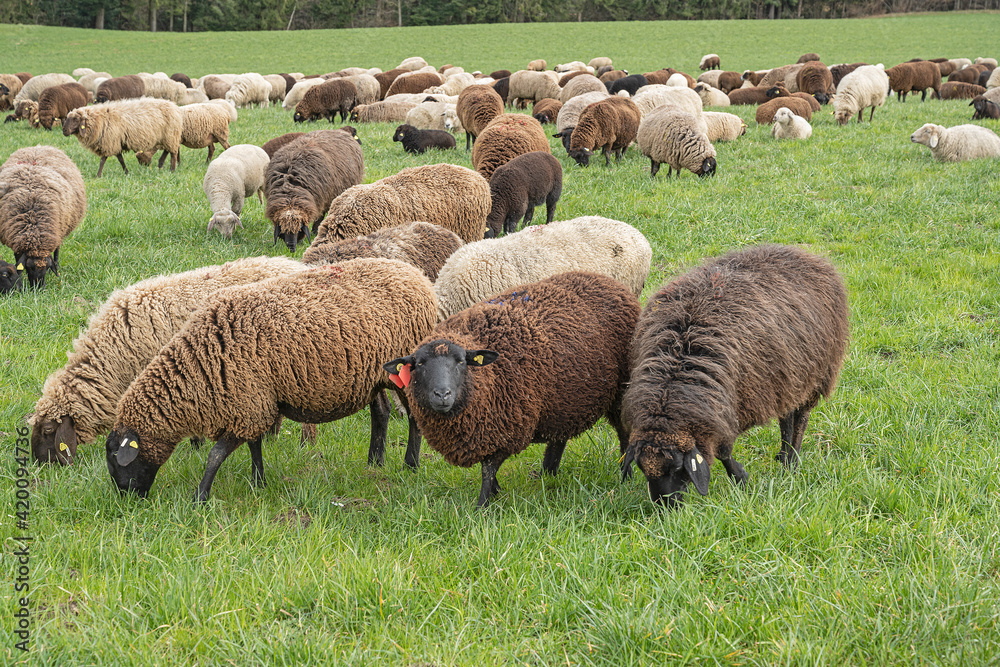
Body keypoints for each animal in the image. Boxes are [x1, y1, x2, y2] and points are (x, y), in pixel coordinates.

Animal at [0, 146, 86, 288]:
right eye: (29, 268)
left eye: (47, 268)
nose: (39, 289)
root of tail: (39, 146)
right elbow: (18, 259)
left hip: (60, 229)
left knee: (57, 249)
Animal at [106, 259, 439, 500]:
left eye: (114, 457)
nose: (128, 500)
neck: (200, 364)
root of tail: (415, 274)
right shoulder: (253, 404)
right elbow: (254, 447)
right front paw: (258, 482)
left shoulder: (249, 406)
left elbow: (215, 455)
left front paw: (200, 496)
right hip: (373, 376)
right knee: (380, 411)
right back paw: (374, 462)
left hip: (404, 370)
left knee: (413, 418)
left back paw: (410, 465)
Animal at [385, 270, 640, 507]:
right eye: (419, 364)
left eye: (461, 361)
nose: (442, 394)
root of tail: (608, 281)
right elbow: (489, 469)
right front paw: (496, 492)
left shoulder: (506, 428)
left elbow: (487, 470)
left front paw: (482, 505)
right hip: (563, 398)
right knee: (559, 436)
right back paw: (548, 474)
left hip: (621, 389)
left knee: (624, 434)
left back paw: (625, 476)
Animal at [621, 245, 849, 507]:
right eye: (642, 468)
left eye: (678, 468)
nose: (667, 507)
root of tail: (804, 254)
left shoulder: (734, 404)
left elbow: (723, 452)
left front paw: (741, 478)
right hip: (787, 379)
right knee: (786, 418)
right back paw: (783, 455)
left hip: (816, 373)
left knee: (801, 417)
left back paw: (791, 462)